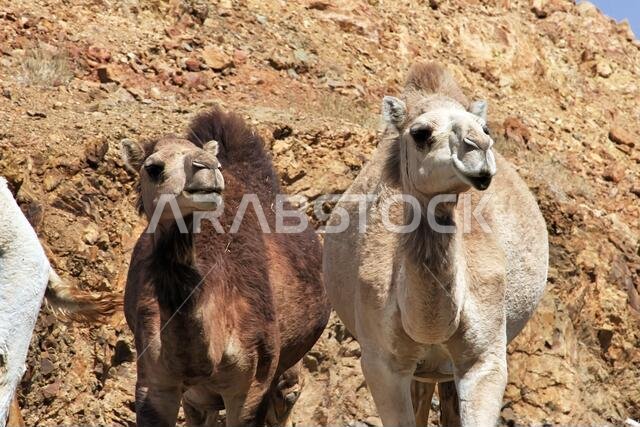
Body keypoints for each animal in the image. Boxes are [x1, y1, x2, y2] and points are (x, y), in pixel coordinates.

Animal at [120, 107, 330, 427]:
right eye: (153, 168)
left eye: (206, 158)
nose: (208, 166)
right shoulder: (154, 380)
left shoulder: (252, 385)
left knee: (286, 391)